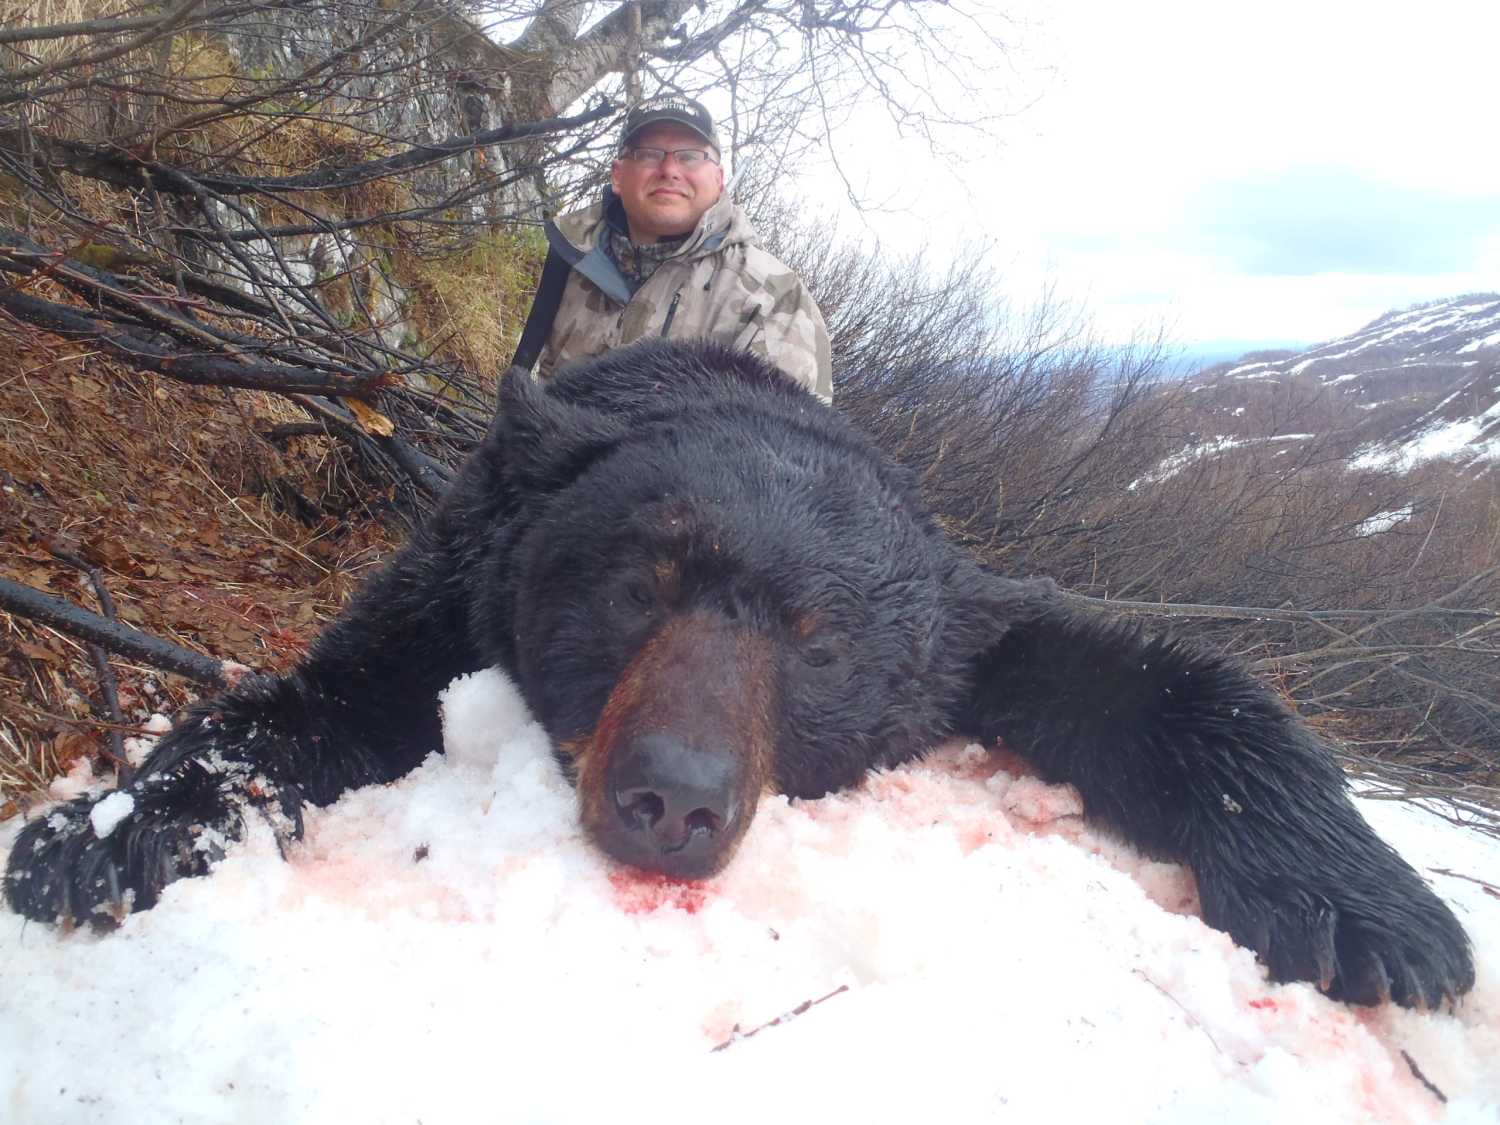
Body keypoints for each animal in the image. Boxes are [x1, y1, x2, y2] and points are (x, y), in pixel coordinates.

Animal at [3, 337, 1474, 1010]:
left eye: (817, 639)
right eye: (640, 582)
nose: (675, 799)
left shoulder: (971, 628)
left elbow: (1161, 677)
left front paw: (1375, 913)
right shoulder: (450, 586)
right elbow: (313, 704)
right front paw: (107, 829)